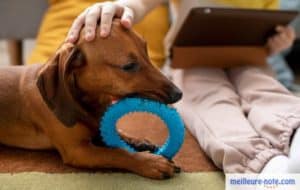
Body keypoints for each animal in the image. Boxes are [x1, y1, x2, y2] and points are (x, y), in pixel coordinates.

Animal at [0, 21, 183, 180]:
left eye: (146, 52)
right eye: (129, 66)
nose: (179, 94)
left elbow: (117, 133)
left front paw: (139, 141)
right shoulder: (78, 151)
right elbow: (117, 152)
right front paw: (150, 162)